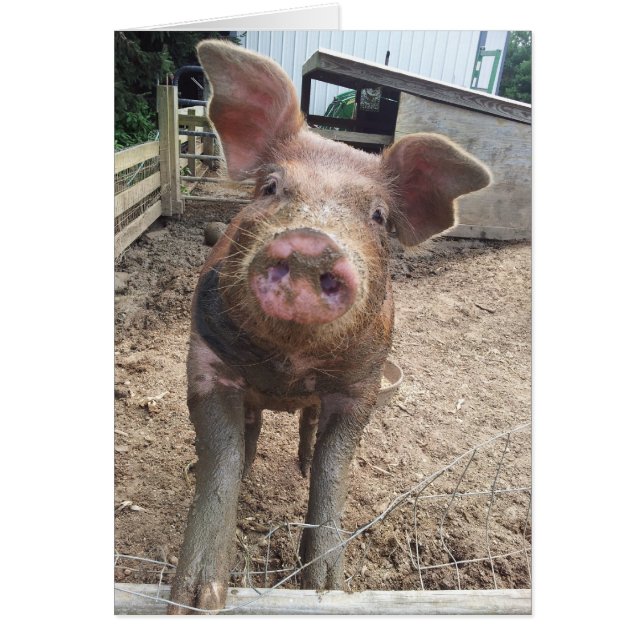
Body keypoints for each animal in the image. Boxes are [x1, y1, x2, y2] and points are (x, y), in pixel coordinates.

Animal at [168, 39, 491, 614]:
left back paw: (297, 463)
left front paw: (325, 588)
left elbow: (331, 471)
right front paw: (193, 602)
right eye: (270, 187)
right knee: (252, 431)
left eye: (379, 216)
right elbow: (220, 460)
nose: (310, 243)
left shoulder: (361, 385)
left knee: (308, 429)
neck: (287, 364)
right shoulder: (205, 361)